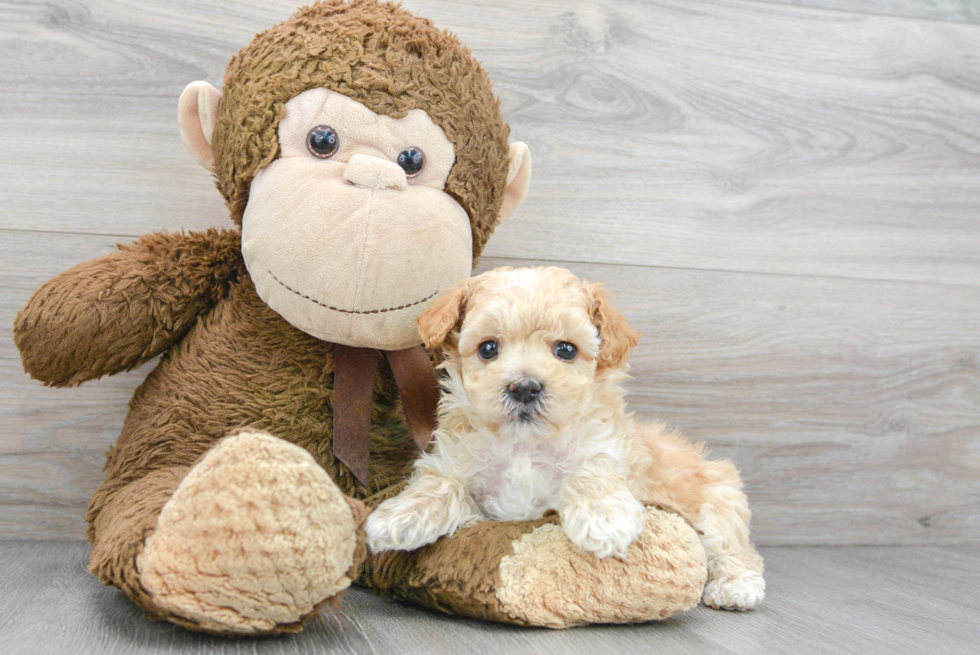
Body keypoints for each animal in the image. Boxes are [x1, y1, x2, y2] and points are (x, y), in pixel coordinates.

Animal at [366, 268, 764, 616]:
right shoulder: (472, 485)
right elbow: (441, 483)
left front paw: (605, 520)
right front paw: (399, 516)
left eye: (567, 350)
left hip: (718, 504)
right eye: (488, 348)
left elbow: (588, 475)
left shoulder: (605, 454)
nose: (525, 387)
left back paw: (736, 587)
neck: (524, 445)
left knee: (736, 550)